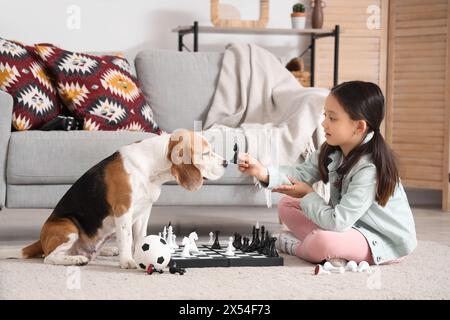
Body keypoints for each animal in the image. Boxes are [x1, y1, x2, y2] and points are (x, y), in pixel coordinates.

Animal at [18, 129, 229, 268]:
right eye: (206, 153)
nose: (227, 163)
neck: (153, 165)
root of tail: (42, 240)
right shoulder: (123, 209)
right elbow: (127, 238)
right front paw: (128, 261)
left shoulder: (144, 211)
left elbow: (140, 237)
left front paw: (143, 254)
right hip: (68, 227)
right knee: (49, 257)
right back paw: (75, 259)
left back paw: (106, 250)